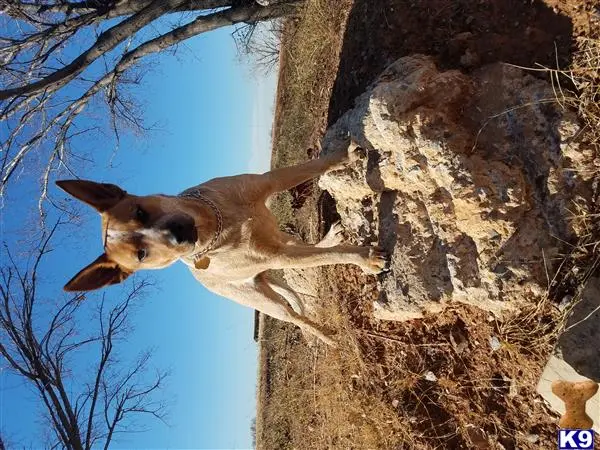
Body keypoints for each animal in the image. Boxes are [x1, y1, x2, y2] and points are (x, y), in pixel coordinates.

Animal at [57, 142, 390, 346]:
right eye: (141, 255)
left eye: (140, 211)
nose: (179, 235)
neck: (219, 224)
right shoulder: (281, 256)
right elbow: (332, 256)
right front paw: (366, 258)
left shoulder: (271, 181)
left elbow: (314, 167)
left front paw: (345, 157)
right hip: (268, 301)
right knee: (295, 315)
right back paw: (326, 336)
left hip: (278, 247)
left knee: (303, 249)